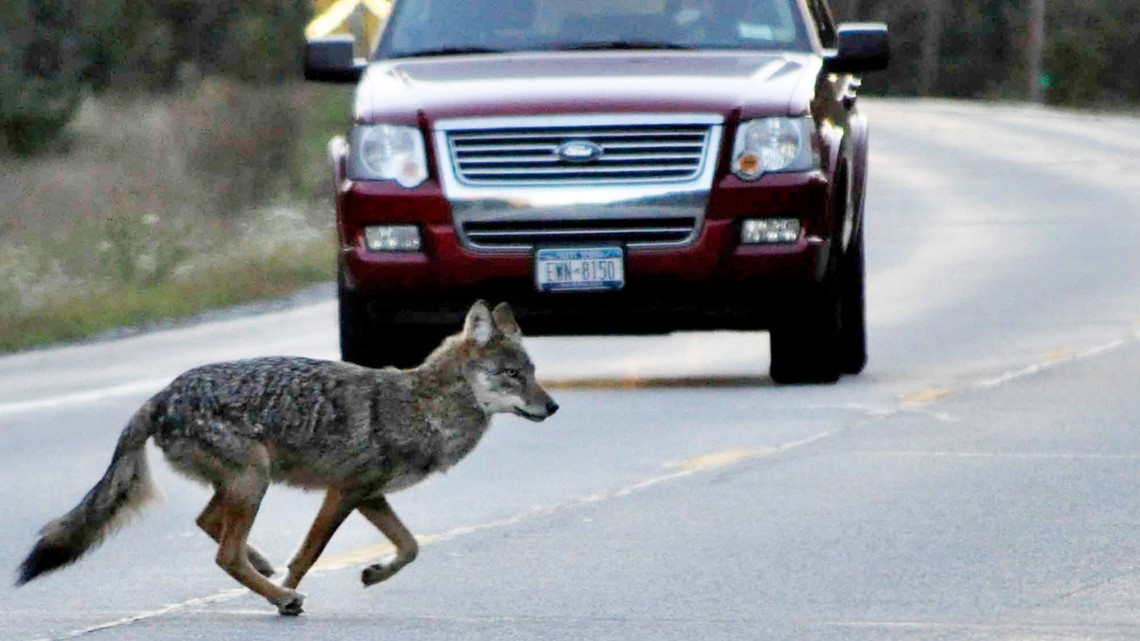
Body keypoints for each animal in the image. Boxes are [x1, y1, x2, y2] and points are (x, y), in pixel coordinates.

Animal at [15, 300, 557, 615]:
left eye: (533, 372)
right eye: (512, 375)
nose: (553, 407)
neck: (423, 406)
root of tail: (162, 395)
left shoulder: (370, 495)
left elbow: (410, 548)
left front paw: (374, 573)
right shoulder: (345, 491)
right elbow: (310, 553)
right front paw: (294, 590)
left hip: (247, 484)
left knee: (209, 526)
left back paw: (263, 566)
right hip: (254, 480)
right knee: (225, 553)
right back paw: (280, 595)